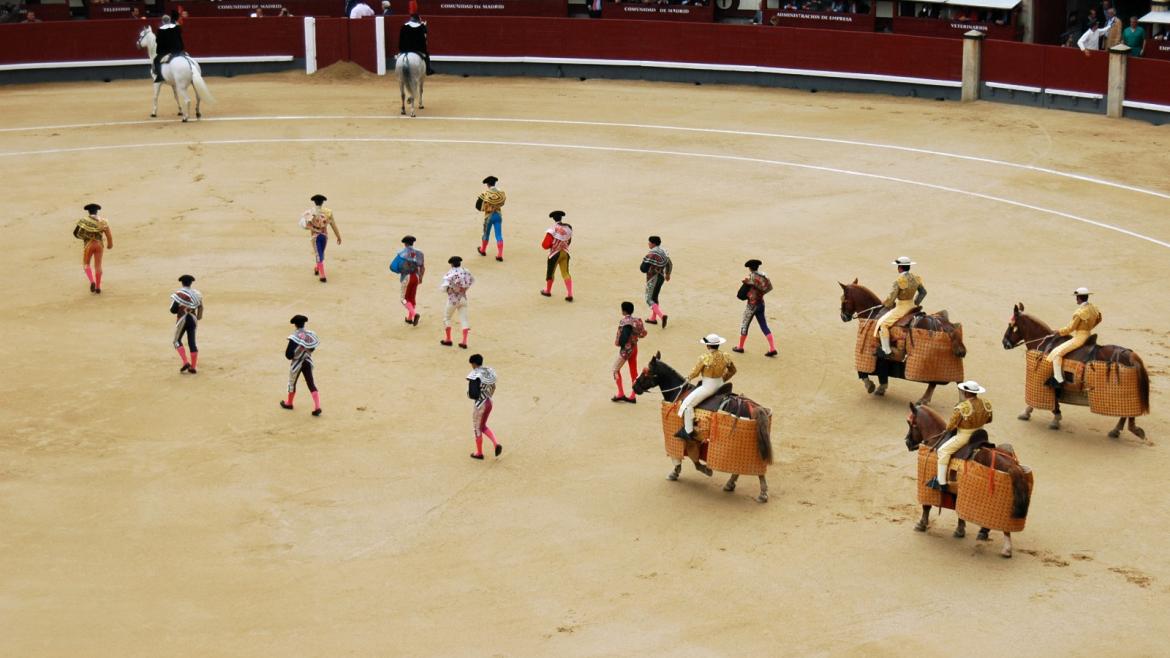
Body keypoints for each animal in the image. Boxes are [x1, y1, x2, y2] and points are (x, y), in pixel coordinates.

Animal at [631, 353, 776, 501]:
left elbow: (685, 456)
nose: (634, 387)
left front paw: (678, 473)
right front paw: (703, 469)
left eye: (646, 372)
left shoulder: (681, 435)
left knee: (754, 469)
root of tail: (754, 407)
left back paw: (762, 494)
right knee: (746, 466)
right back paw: (731, 485)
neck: (679, 393)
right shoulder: (694, 438)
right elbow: (693, 453)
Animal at [898, 402, 1029, 554]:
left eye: (910, 423)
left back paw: (1006, 548)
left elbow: (926, 506)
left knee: (1005, 527)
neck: (937, 439)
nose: (907, 442)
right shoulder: (956, 489)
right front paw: (960, 530)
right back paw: (986, 535)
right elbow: (958, 507)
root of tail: (1011, 465)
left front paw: (921, 525)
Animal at [1001, 304, 1146, 437]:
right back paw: (1122, 430)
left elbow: (1049, 400)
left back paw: (1118, 430)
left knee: (1128, 412)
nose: (1004, 343)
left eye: (1010, 325)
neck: (1045, 342)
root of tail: (1129, 354)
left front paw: (1048, 418)